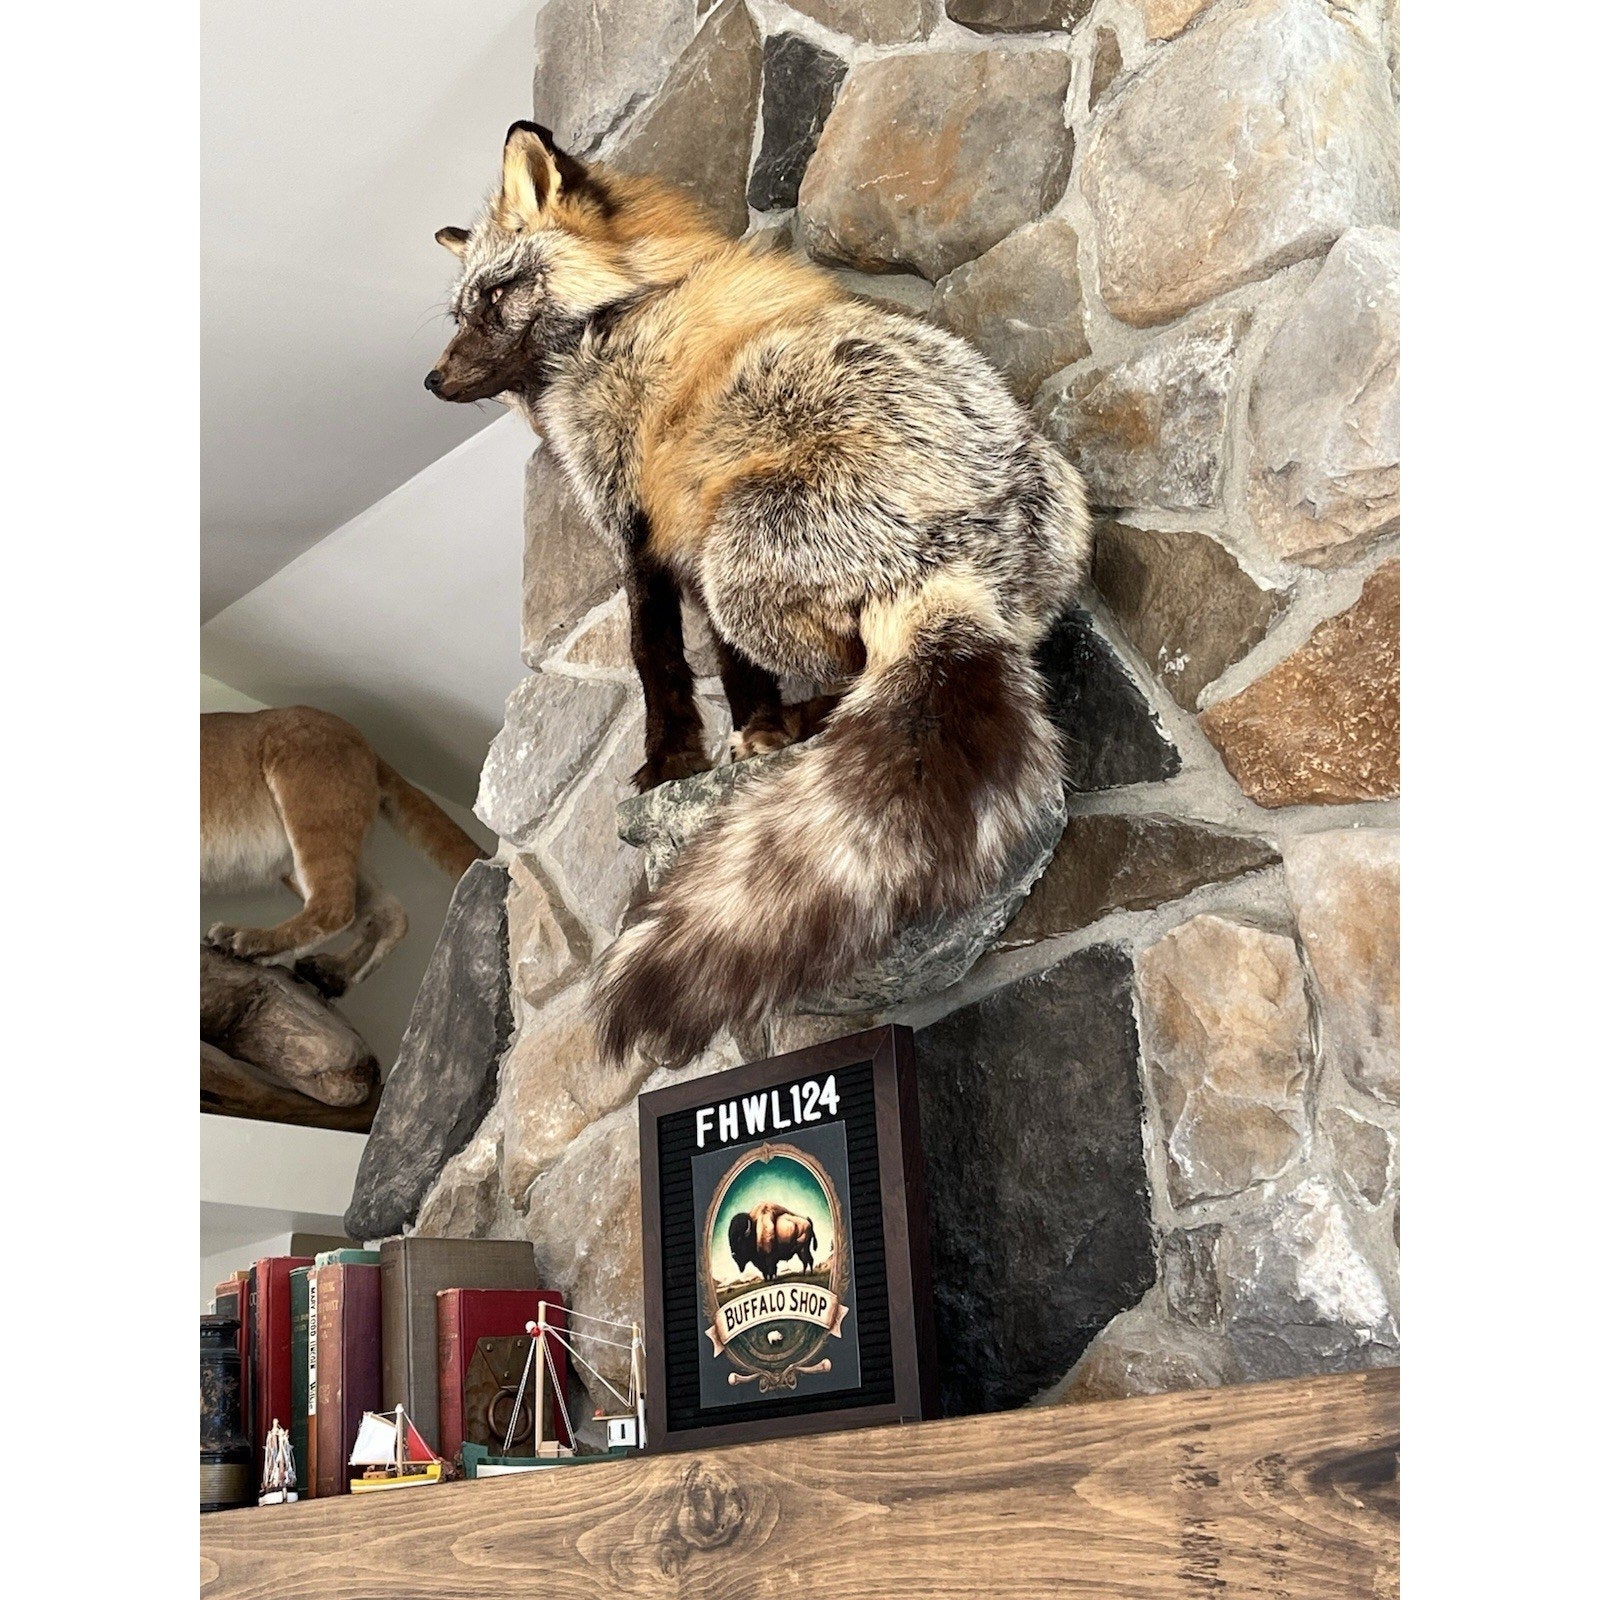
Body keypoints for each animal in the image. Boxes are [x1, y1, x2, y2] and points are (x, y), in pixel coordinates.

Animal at [201, 706, 486, 996]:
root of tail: (368, 745)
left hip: (310, 806)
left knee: (335, 906)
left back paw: (246, 941)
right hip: (316, 856)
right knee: (388, 914)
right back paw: (332, 972)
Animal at [427, 123, 1091, 1067]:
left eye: (496, 295)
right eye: (460, 311)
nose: (432, 381)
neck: (617, 319)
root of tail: (957, 573)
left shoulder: (641, 530)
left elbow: (658, 659)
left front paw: (676, 760)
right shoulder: (676, 534)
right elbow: (732, 675)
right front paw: (755, 732)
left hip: (733, 556)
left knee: (850, 670)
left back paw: (813, 723)